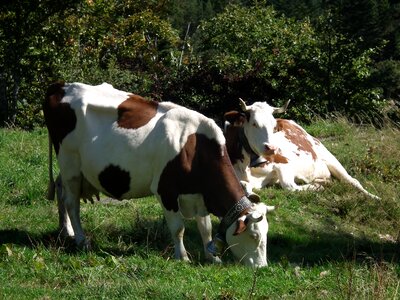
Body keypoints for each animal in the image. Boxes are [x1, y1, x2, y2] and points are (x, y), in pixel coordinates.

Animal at [43, 81, 276, 268]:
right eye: (254, 235)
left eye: (266, 233)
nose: (262, 267)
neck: (194, 147)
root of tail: (62, 86)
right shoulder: (166, 190)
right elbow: (179, 228)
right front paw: (182, 257)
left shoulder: (198, 194)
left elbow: (205, 228)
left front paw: (213, 258)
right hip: (70, 164)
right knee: (72, 202)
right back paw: (81, 240)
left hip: (71, 169)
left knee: (60, 190)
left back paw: (66, 231)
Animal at [223, 99, 380, 200]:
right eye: (254, 123)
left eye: (274, 126)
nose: (272, 148)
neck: (248, 166)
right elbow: (243, 184)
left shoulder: (284, 163)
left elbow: (289, 186)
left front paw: (316, 188)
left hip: (329, 157)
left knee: (352, 181)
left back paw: (375, 198)